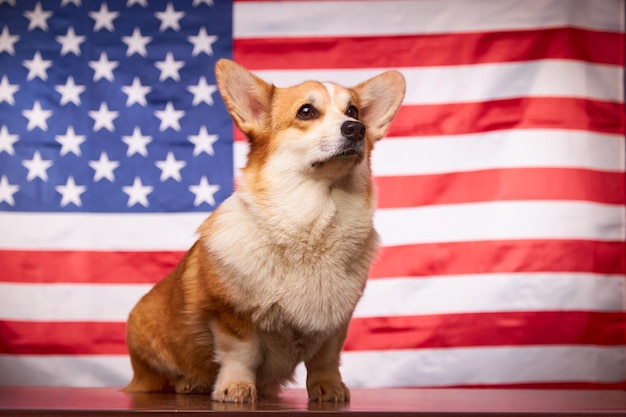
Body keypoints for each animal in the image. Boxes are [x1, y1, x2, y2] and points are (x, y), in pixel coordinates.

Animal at [125, 58, 404, 400]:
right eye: (306, 111)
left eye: (353, 112)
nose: (356, 129)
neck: (312, 221)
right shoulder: (233, 316)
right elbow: (242, 355)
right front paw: (235, 387)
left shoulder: (335, 324)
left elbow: (325, 359)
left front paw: (329, 387)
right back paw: (190, 383)